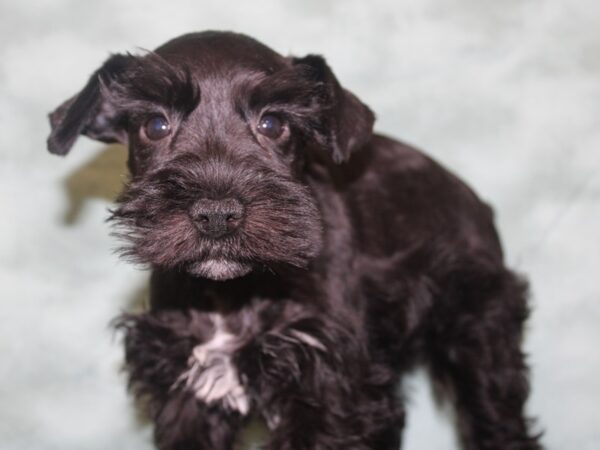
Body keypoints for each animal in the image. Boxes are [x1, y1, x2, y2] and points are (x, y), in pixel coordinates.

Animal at [48, 29, 544, 448]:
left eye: (273, 123)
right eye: (154, 125)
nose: (216, 215)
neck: (234, 295)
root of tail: (474, 200)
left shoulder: (329, 391)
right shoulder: (185, 391)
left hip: (480, 340)